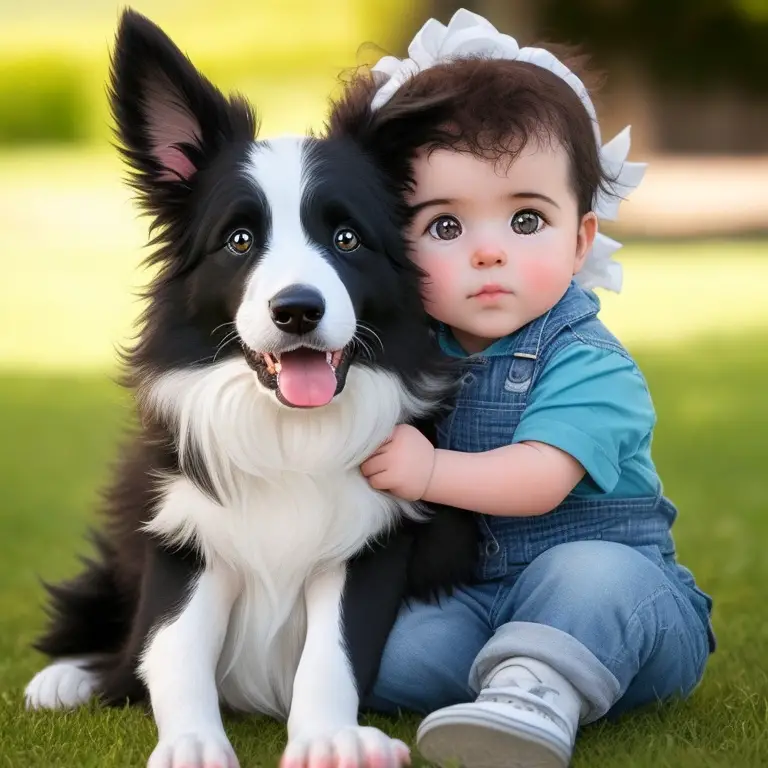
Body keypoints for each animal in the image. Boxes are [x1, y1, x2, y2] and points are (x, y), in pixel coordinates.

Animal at [24, 9, 476, 768]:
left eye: (347, 237)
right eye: (239, 239)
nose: (297, 310)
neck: (285, 433)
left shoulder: (370, 543)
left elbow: (333, 653)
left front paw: (329, 739)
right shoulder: (182, 536)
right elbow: (172, 648)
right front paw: (190, 745)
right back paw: (65, 678)